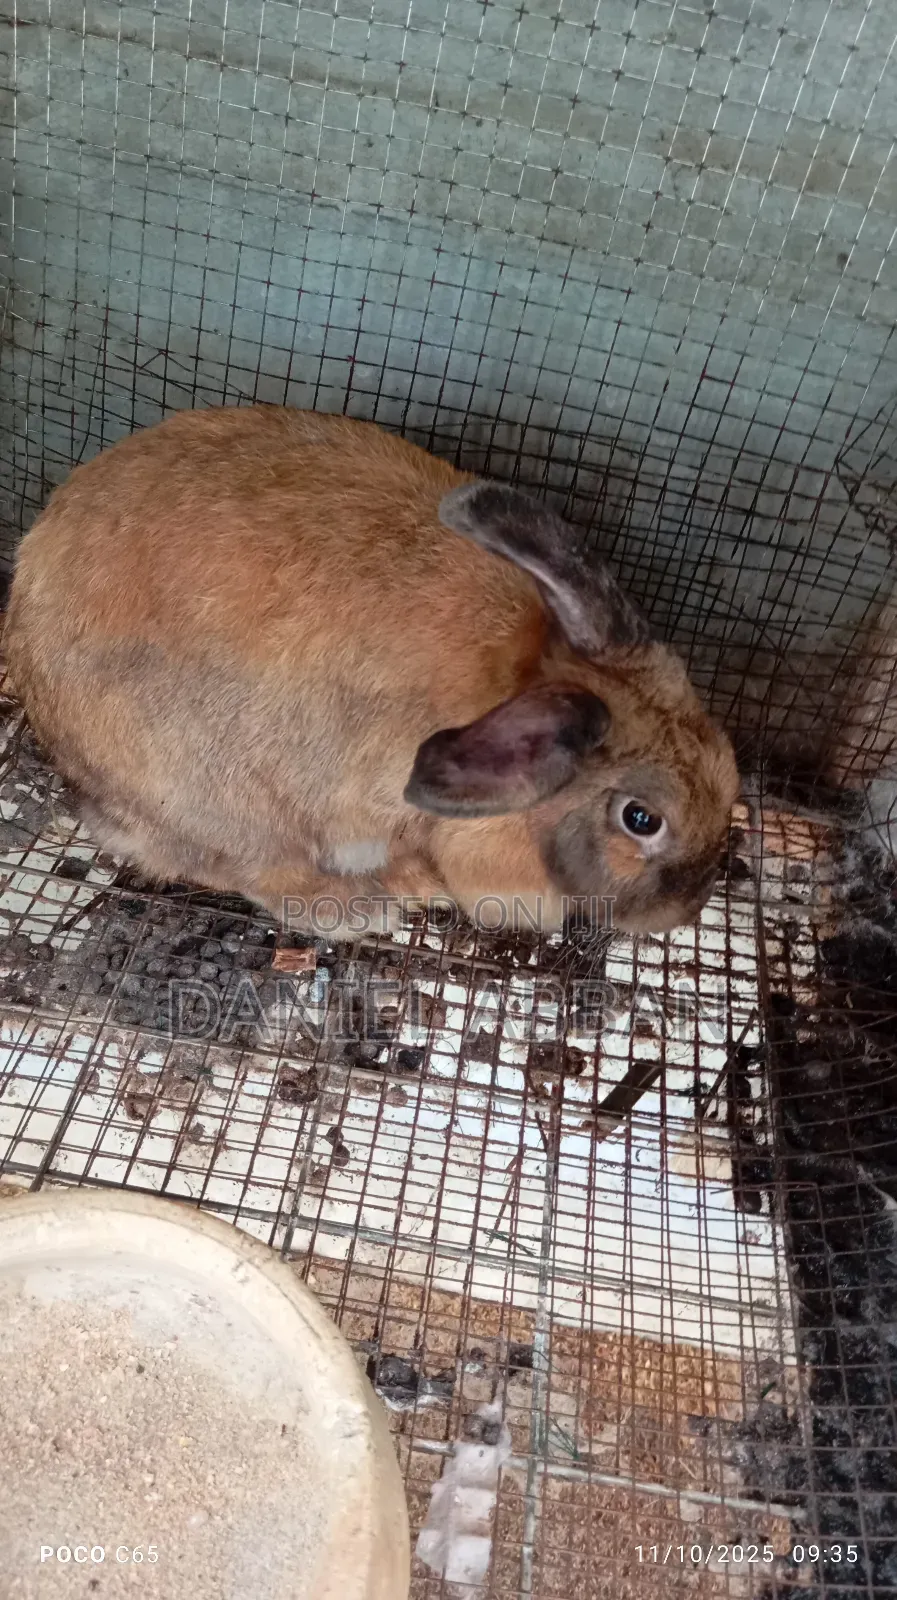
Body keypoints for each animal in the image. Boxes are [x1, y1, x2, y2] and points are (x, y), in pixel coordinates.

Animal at [4, 404, 739, 941]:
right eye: (641, 820)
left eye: (731, 770)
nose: (686, 912)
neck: (526, 675)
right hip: (221, 801)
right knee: (248, 871)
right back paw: (362, 909)